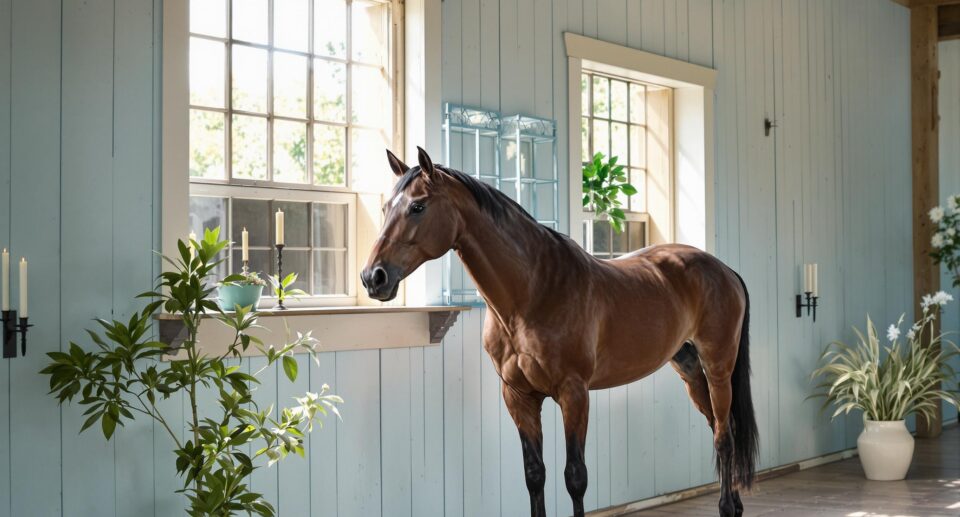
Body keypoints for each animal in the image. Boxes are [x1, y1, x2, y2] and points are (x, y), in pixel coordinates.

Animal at [360, 146, 756, 516]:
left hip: (718, 368)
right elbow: (535, 474)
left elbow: (575, 476)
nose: (373, 277)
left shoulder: (574, 393)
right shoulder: (518, 396)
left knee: (723, 436)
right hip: (689, 369)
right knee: (722, 428)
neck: (534, 292)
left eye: (417, 207)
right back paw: (735, 502)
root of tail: (724, 269)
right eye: (385, 209)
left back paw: (727, 506)